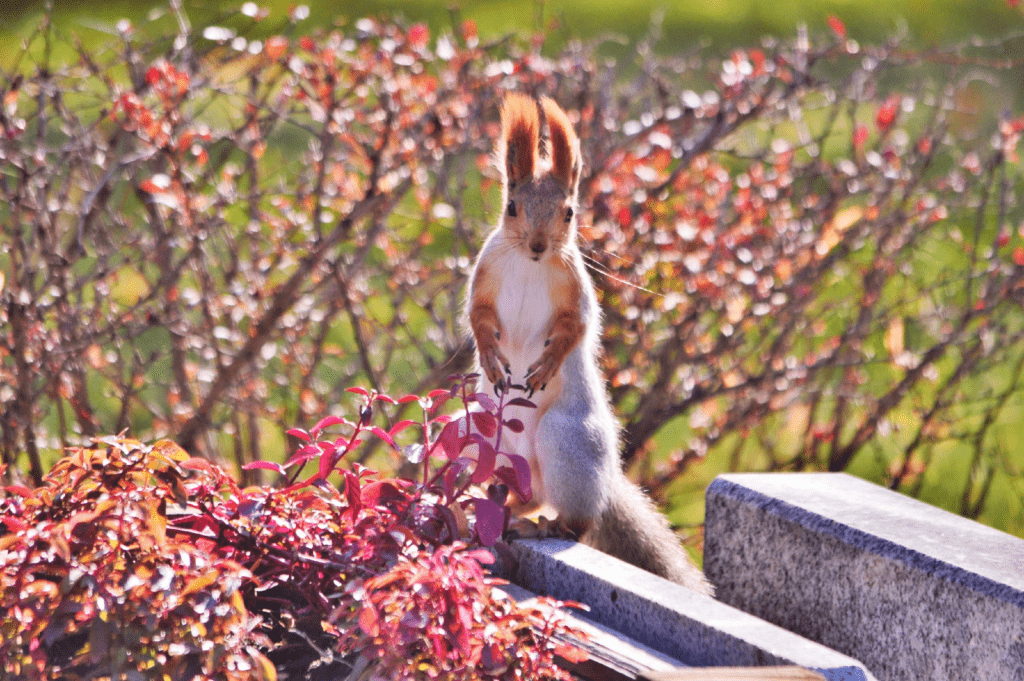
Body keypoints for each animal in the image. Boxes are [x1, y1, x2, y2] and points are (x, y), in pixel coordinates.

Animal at [466, 93, 713, 595]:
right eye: (512, 207)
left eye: (569, 212)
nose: (539, 245)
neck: (529, 265)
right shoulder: (484, 276)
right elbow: (477, 317)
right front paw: (491, 356)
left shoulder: (574, 290)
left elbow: (575, 329)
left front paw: (546, 364)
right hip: (485, 435)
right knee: (528, 494)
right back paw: (507, 508)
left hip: (565, 440)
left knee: (577, 521)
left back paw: (548, 526)